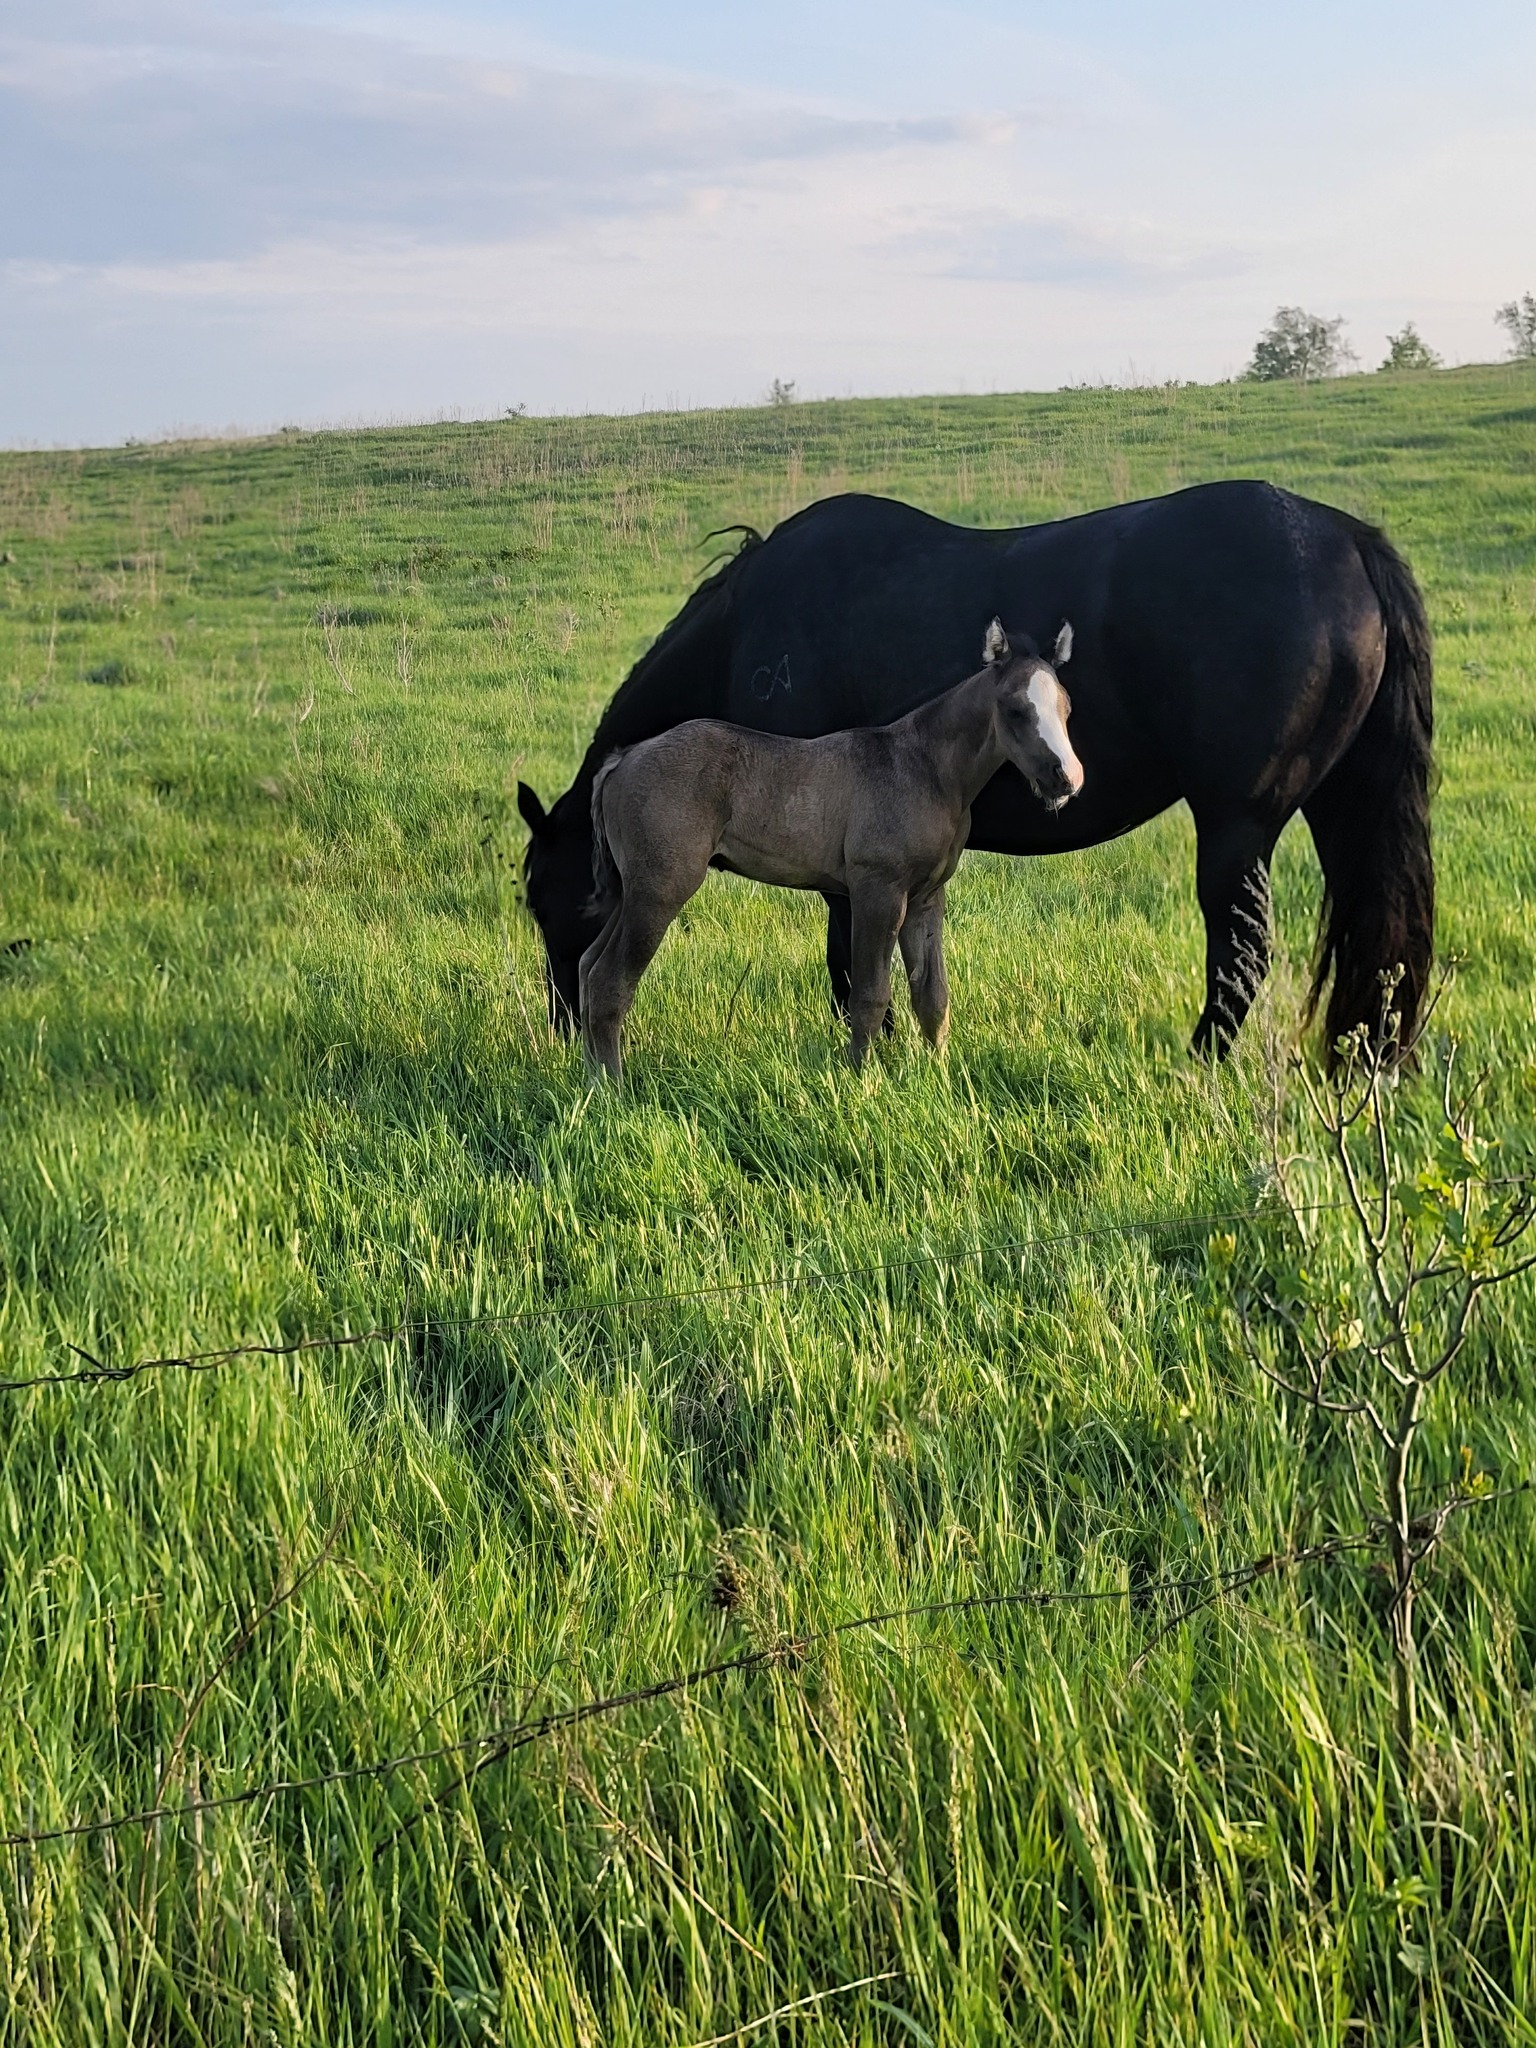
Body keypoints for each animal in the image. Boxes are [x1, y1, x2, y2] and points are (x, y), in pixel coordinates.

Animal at [580, 619, 1082, 1078]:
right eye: (1015, 709)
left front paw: (939, 1077)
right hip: (661, 890)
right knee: (609, 982)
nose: (1067, 779)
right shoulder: (877, 891)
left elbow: (932, 995)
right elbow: (871, 996)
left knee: (587, 966)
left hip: (633, 890)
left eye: (1066, 706)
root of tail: (623, 759)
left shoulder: (926, 896)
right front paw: (862, 1081)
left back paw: (588, 1079)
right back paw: (612, 1090)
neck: (925, 770)